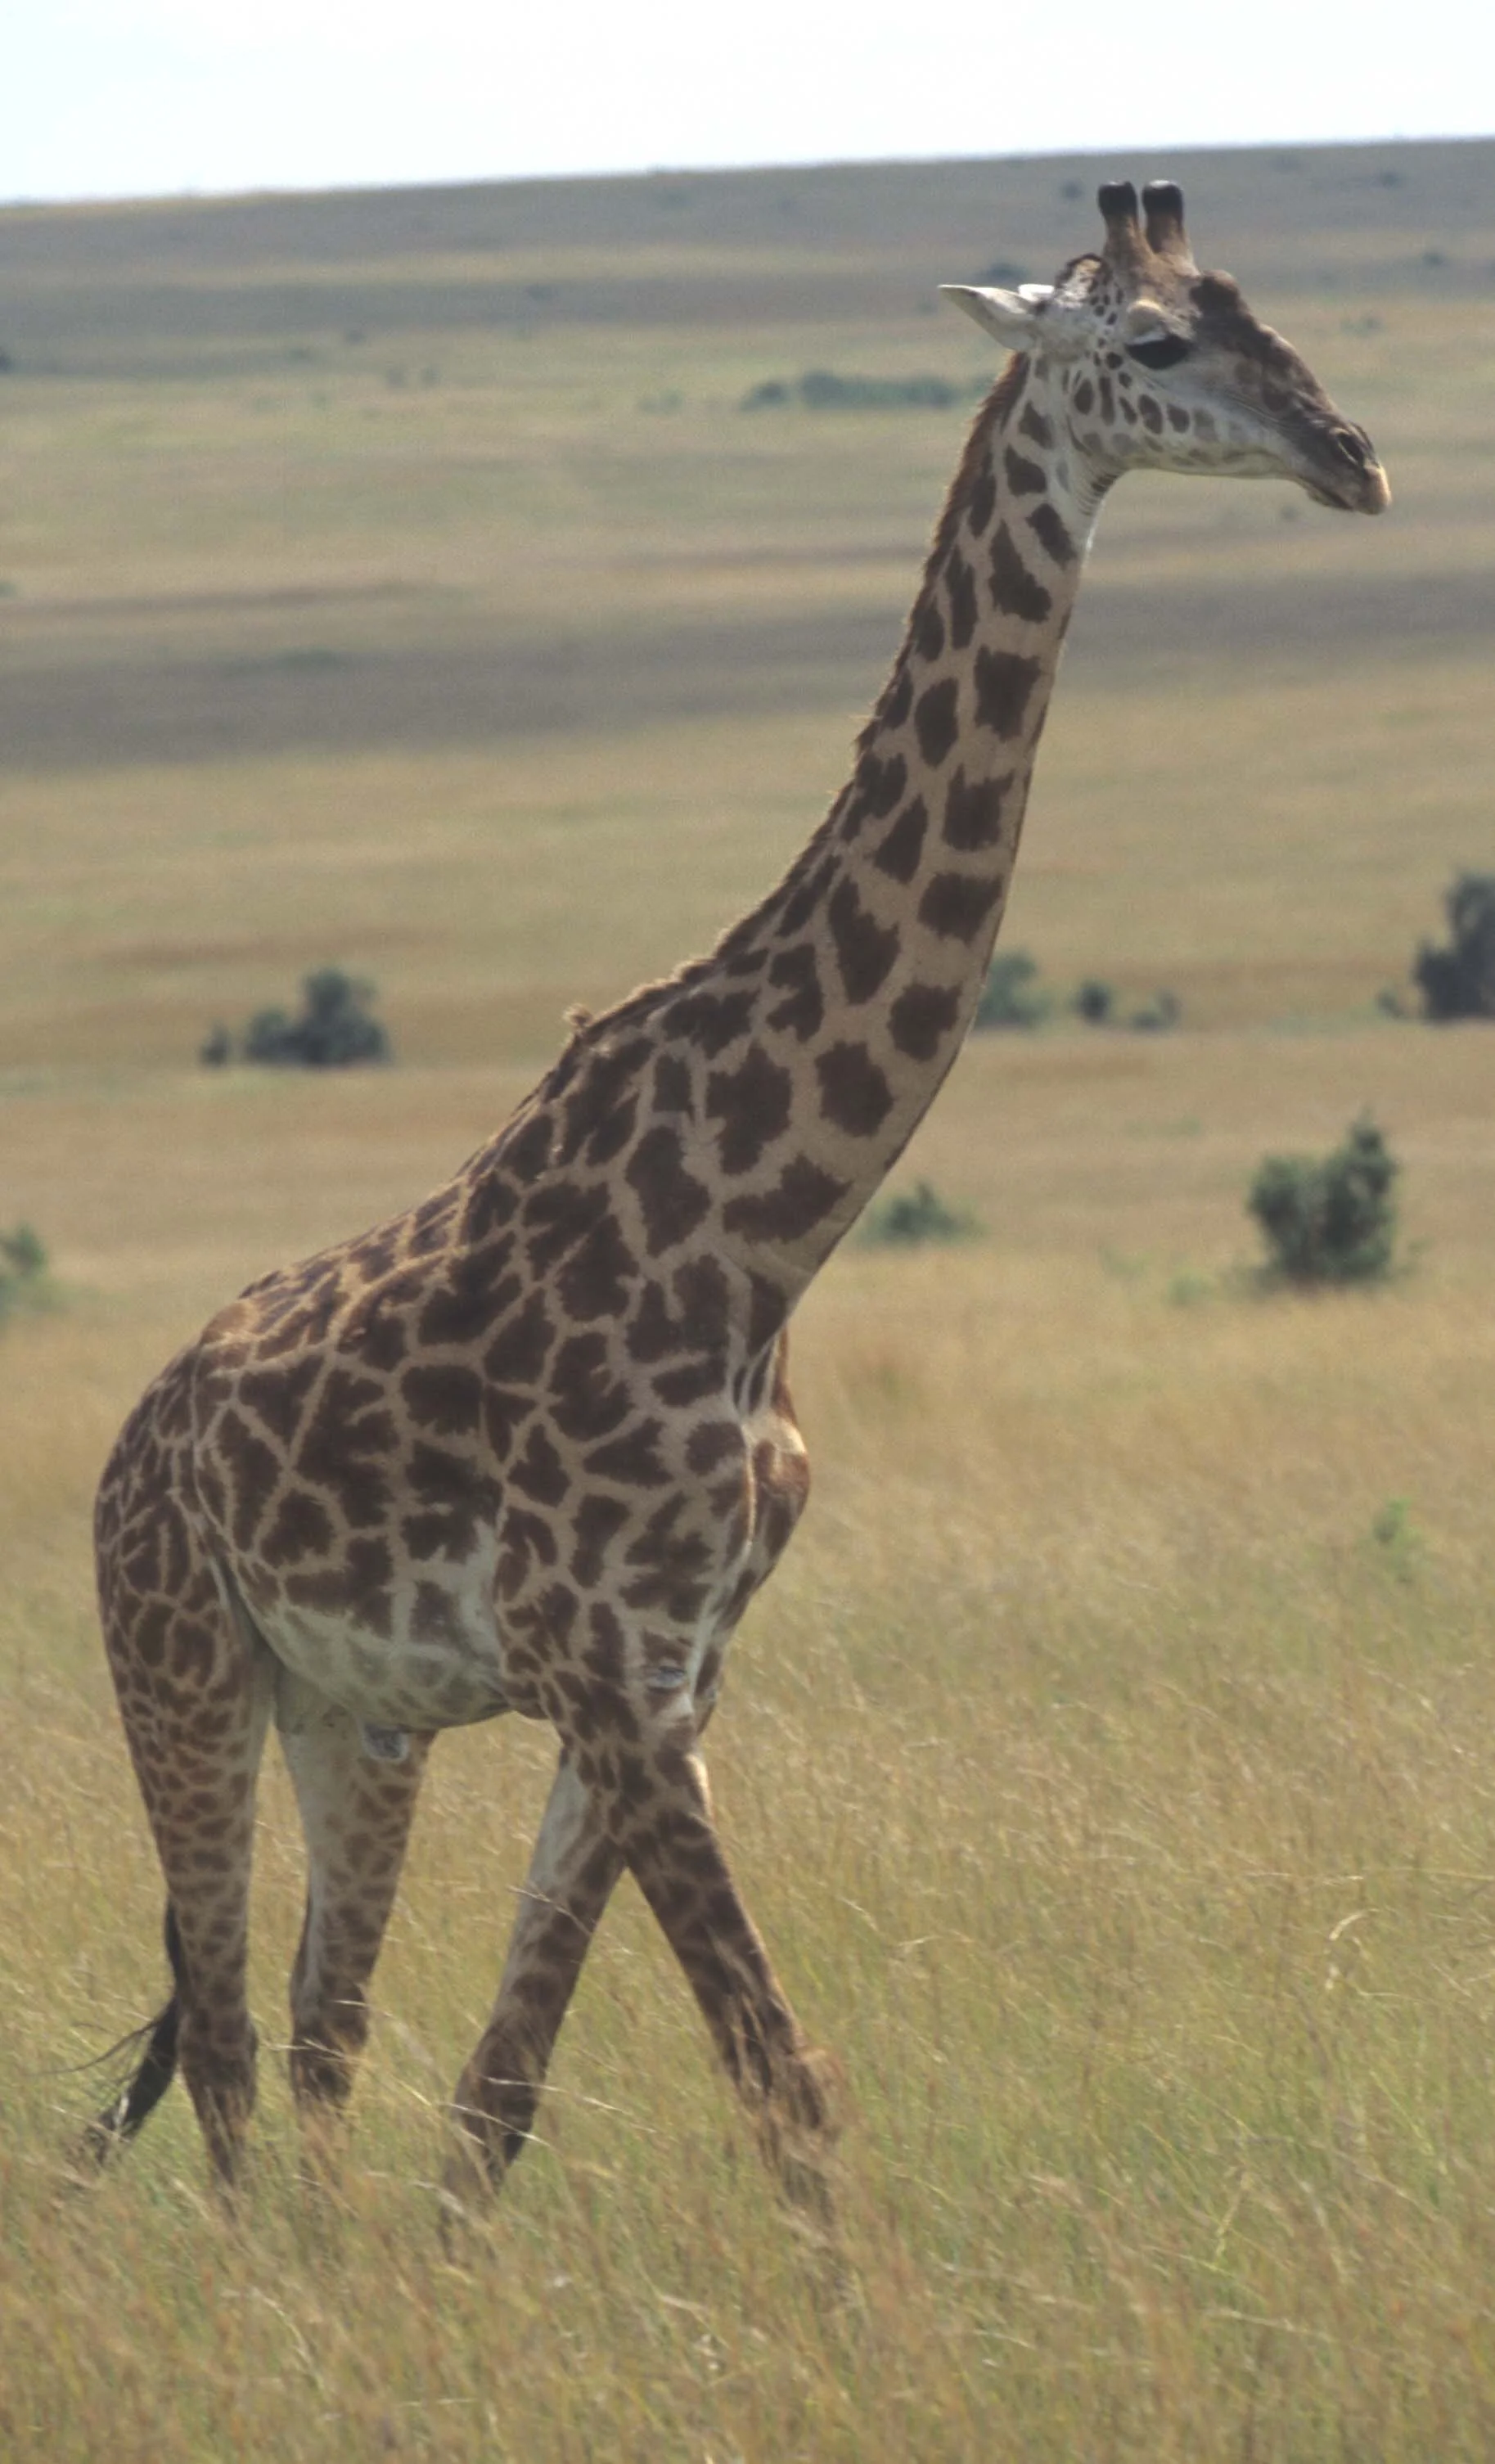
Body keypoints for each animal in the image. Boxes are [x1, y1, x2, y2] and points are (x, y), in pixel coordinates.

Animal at [87, 181, 1387, 2208]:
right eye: (1156, 342)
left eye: (1267, 311)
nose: (1353, 457)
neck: (762, 1229)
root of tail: (124, 1452)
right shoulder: (608, 1666)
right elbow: (783, 2081)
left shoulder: (667, 1674)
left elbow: (501, 2098)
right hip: (180, 1668)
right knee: (224, 2049)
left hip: (355, 1719)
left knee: (313, 2038)